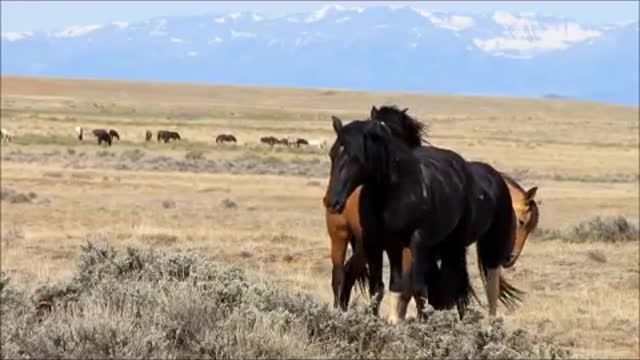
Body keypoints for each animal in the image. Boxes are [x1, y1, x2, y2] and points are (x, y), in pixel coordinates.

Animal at [322, 116, 478, 324]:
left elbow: (414, 289)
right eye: (332, 154)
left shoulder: (414, 245)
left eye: (357, 158)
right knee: (341, 276)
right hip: (341, 236)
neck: (394, 192)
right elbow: (380, 288)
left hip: (453, 243)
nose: (332, 201)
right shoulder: (378, 244)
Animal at [330, 173, 540, 316]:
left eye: (532, 228)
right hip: (341, 236)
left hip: (365, 247)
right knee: (340, 275)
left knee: (352, 273)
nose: (509, 258)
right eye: (521, 221)